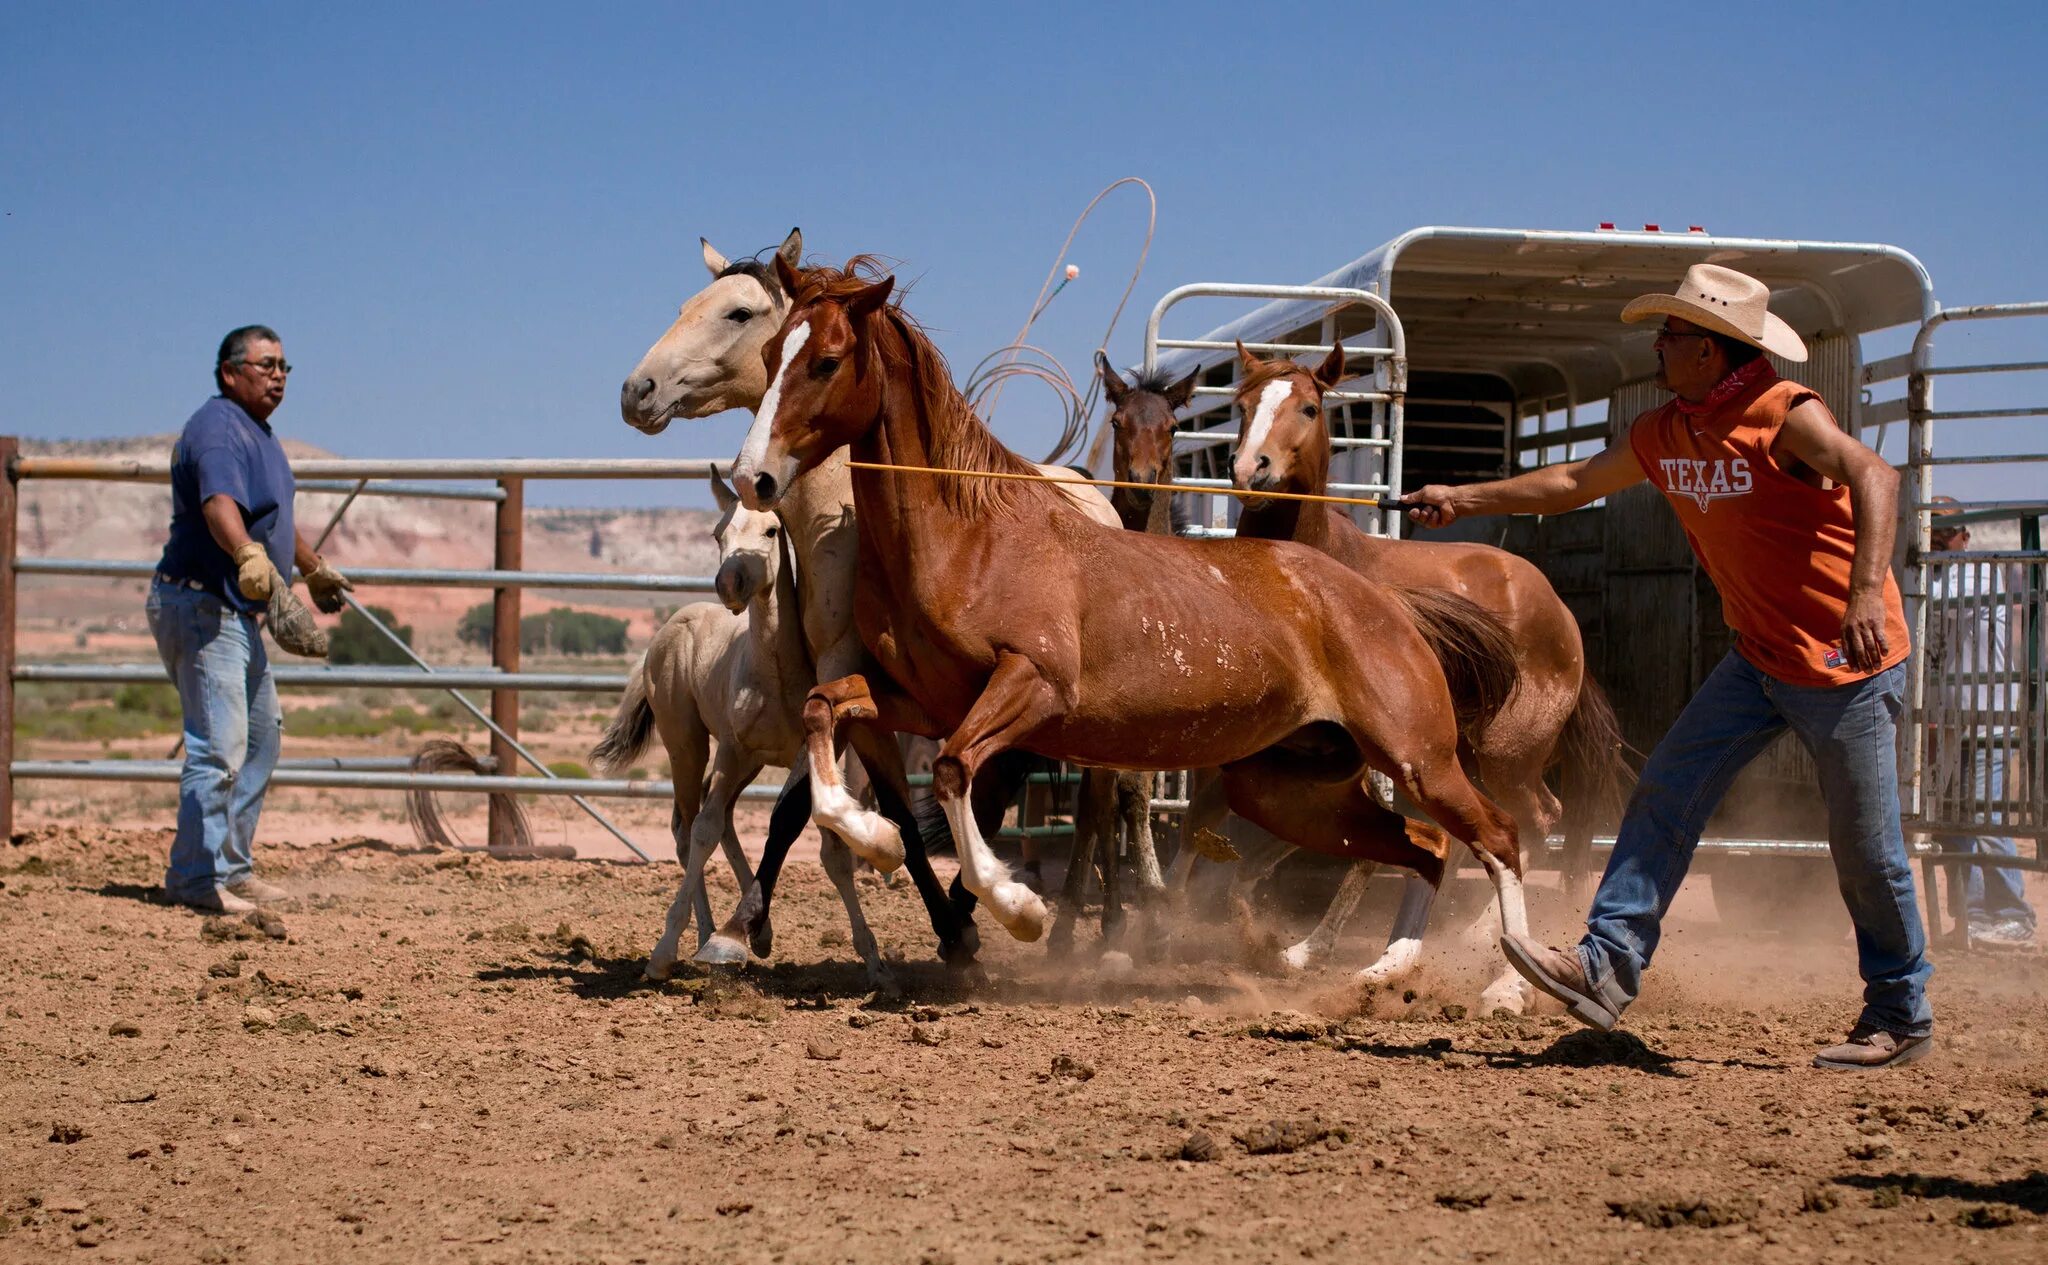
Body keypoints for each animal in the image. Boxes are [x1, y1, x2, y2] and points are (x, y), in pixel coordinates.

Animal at [737, 255, 1540, 953]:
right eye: (771, 351)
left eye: (827, 361)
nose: (752, 478)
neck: (968, 538)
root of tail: (1383, 597)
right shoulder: (918, 699)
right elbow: (824, 713)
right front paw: (875, 841)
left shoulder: (1032, 686)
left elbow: (958, 771)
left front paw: (1020, 908)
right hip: (1291, 790)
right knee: (1427, 846)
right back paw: (1378, 971)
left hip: (1416, 758)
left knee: (1498, 838)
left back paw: (1525, 976)